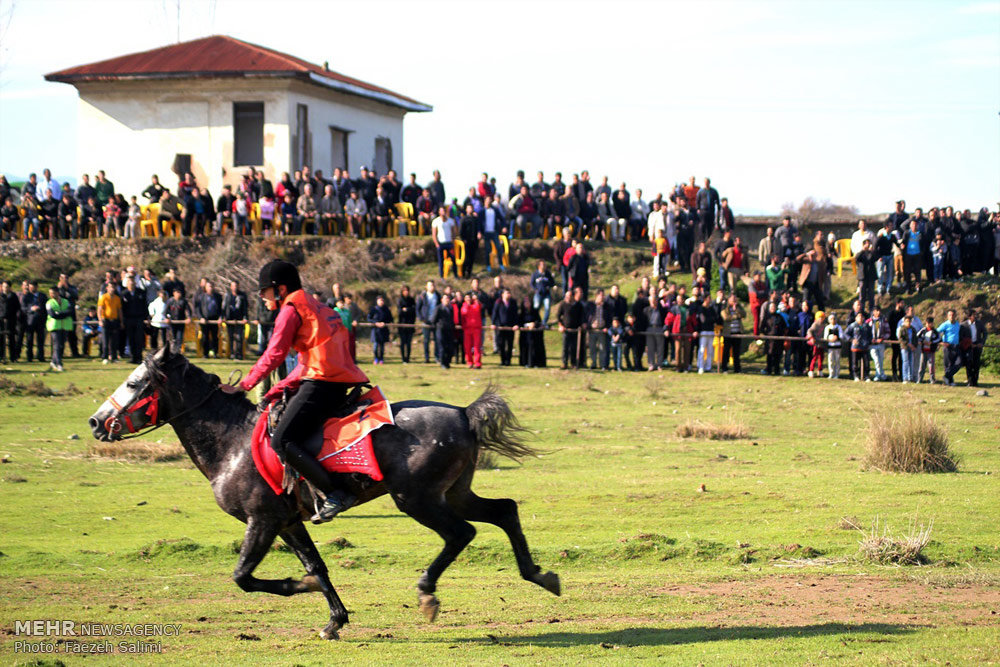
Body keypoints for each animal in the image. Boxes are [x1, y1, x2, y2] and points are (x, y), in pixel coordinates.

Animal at [89, 348, 560, 640]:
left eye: (134, 383)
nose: (95, 422)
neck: (232, 442)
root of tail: (463, 413)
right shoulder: (288, 522)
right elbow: (318, 565)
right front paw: (334, 618)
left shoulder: (262, 521)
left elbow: (244, 577)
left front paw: (301, 587)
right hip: (454, 492)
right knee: (504, 511)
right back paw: (539, 574)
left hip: (417, 499)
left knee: (461, 533)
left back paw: (428, 592)